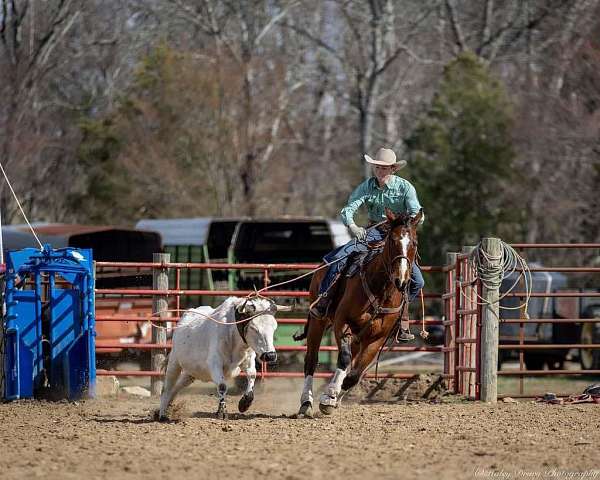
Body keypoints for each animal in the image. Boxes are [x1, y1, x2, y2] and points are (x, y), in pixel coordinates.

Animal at [296, 208, 420, 414]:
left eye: (414, 243)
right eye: (392, 240)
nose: (400, 280)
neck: (381, 291)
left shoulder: (377, 338)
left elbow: (355, 374)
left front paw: (334, 396)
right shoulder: (342, 322)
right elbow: (345, 359)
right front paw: (329, 396)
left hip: (358, 334)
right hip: (318, 321)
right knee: (311, 360)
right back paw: (306, 403)